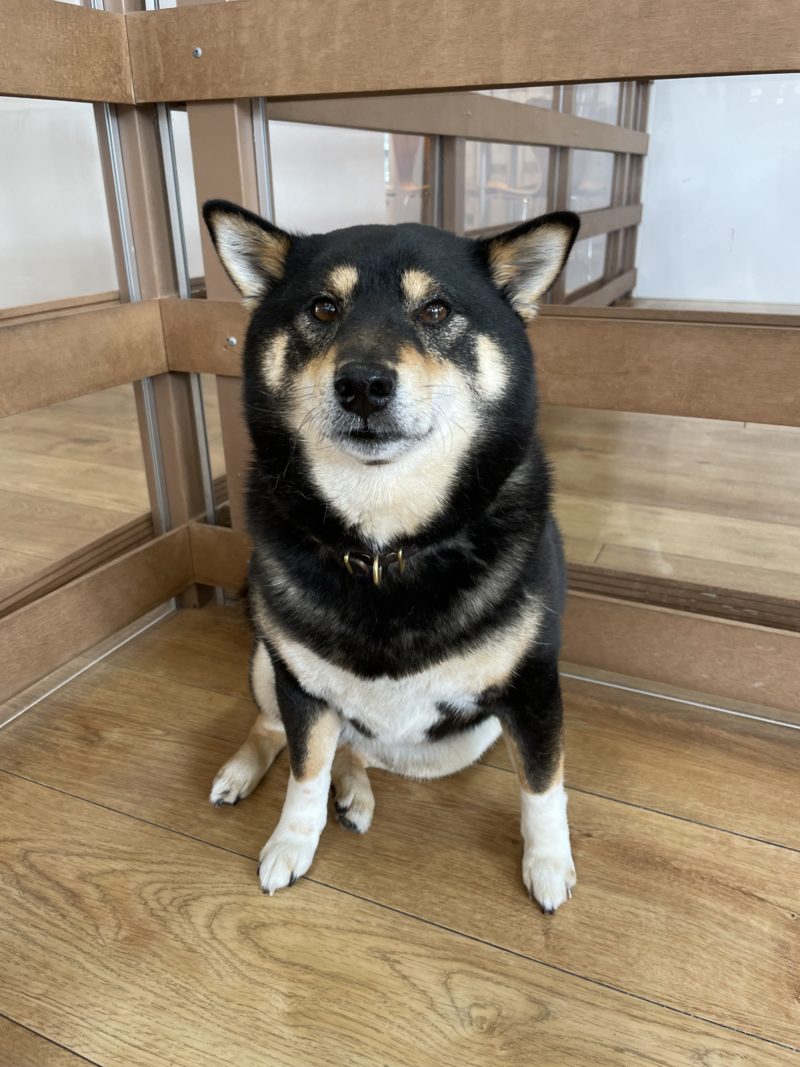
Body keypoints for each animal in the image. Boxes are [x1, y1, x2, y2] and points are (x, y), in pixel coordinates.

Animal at [203, 199, 579, 912]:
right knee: (280, 731)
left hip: (461, 742)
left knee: (357, 750)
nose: (363, 385)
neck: (384, 548)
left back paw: (353, 791)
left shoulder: (532, 689)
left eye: (435, 310)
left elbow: (542, 786)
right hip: (268, 659)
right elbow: (303, 772)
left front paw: (548, 863)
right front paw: (291, 842)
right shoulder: (300, 685)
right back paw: (245, 773)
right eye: (324, 308)